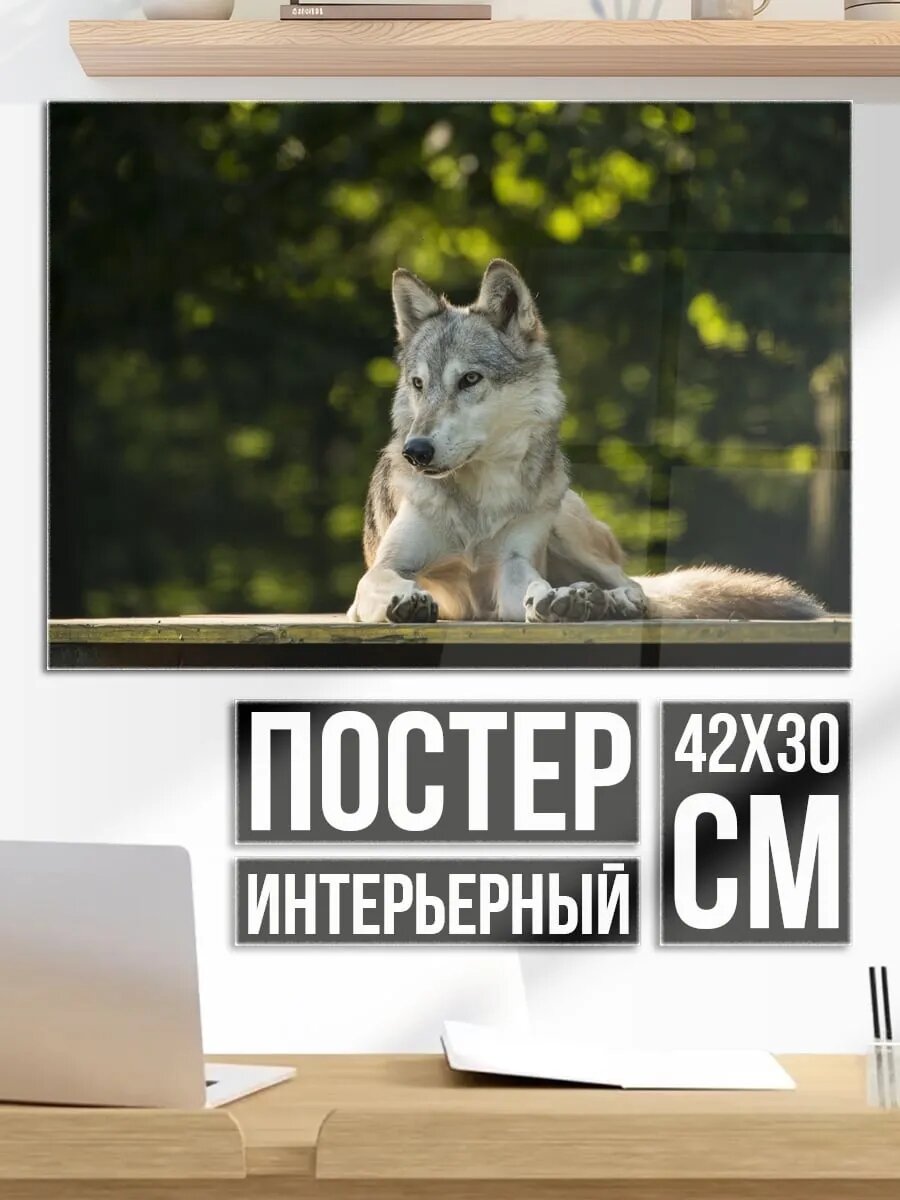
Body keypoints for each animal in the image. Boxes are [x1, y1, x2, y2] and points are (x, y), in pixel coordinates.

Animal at [348, 259, 823, 625]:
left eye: (469, 379)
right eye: (418, 384)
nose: (415, 452)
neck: (480, 504)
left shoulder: (511, 567)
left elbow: (534, 585)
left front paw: (556, 600)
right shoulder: (383, 571)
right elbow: (383, 581)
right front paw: (406, 599)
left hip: (566, 526)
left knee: (637, 588)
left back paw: (611, 601)